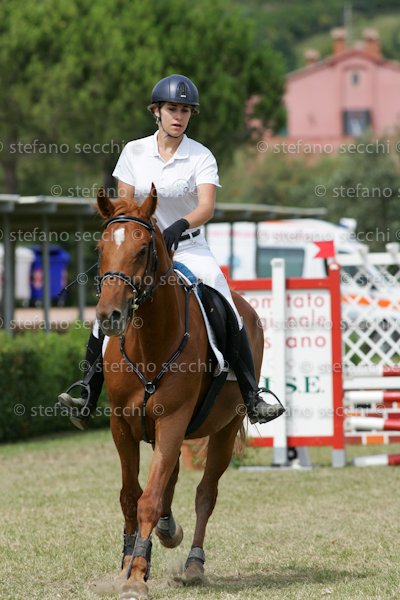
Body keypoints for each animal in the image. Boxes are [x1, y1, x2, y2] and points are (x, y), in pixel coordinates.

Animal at [95, 184, 263, 600]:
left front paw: (137, 573)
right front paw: (127, 563)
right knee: (169, 481)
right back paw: (168, 533)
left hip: (223, 430)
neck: (148, 342)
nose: (109, 316)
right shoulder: (121, 424)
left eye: (142, 250)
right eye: (100, 247)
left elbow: (150, 499)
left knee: (206, 493)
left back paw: (193, 563)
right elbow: (130, 495)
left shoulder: (172, 420)